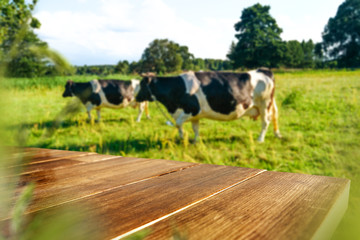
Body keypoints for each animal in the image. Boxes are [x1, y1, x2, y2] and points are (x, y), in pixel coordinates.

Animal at [135, 68, 282, 142]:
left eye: (142, 84)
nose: (136, 97)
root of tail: (263, 70)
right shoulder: (195, 115)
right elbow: (195, 128)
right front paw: (195, 141)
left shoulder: (192, 109)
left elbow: (177, 123)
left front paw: (182, 137)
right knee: (273, 118)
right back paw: (276, 134)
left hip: (264, 104)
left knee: (265, 122)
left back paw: (260, 139)